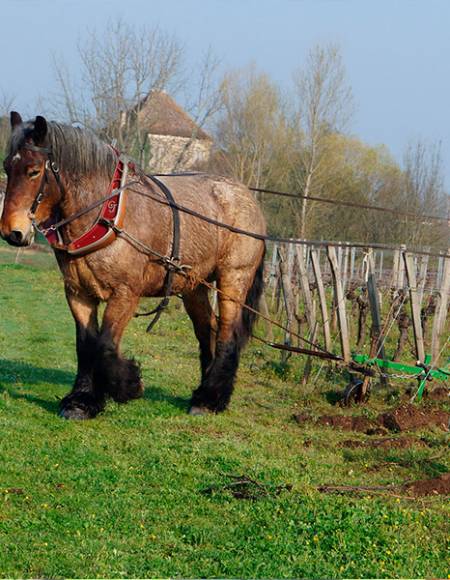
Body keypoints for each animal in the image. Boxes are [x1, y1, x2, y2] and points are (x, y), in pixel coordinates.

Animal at [0, 111, 266, 420]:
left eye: (33, 171)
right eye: (7, 167)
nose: (11, 232)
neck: (104, 215)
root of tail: (246, 196)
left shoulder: (126, 293)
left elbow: (105, 346)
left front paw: (128, 385)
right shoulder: (78, 293)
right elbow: (86, 345)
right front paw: (82, 400)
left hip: (233, 279)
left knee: (227, 333)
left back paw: (210, 398)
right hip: (193, 286)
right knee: (207, 329)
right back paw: (202, 392)